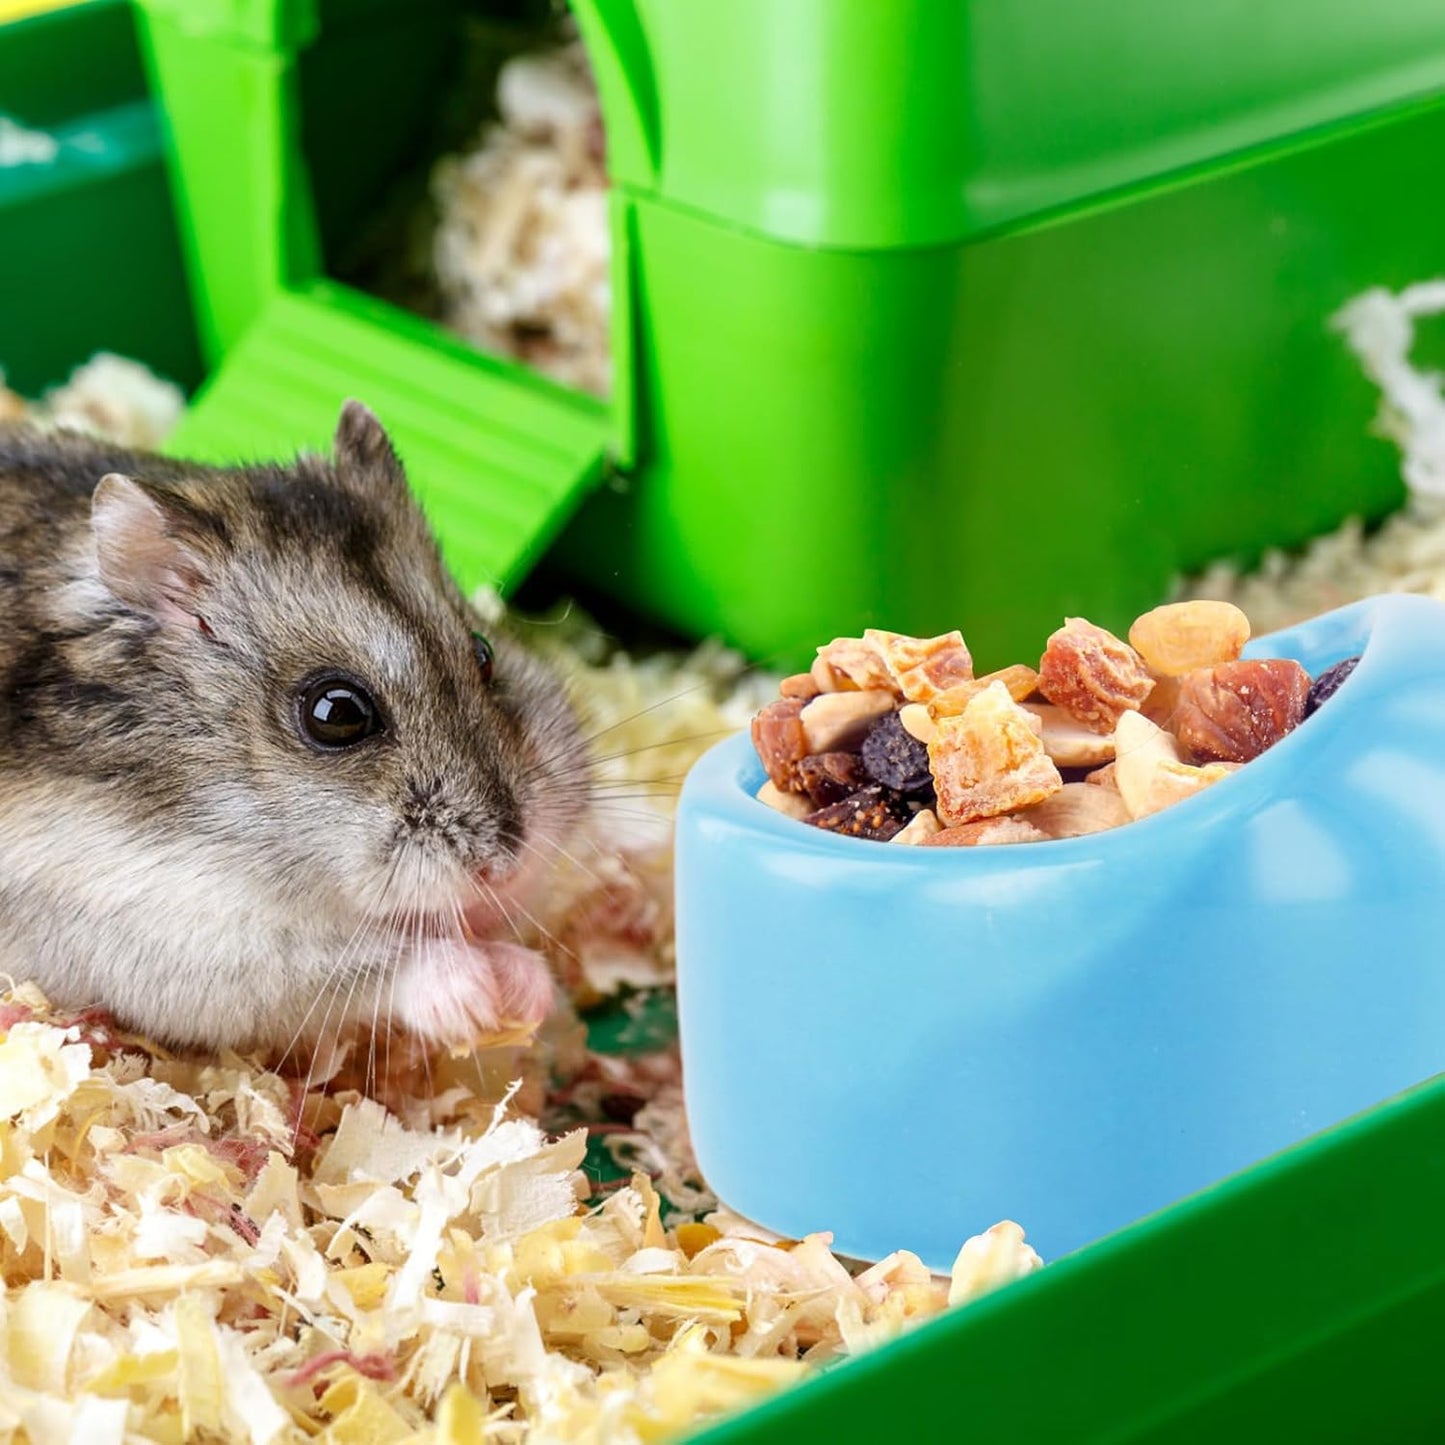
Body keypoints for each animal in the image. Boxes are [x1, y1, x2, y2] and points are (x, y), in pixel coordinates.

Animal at [0, 401, 589, 1054]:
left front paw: (528, 990)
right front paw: (484, 995)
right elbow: (356, 968)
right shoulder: (171, 938)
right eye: (336, 714)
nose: (509, 869)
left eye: (484, 653)